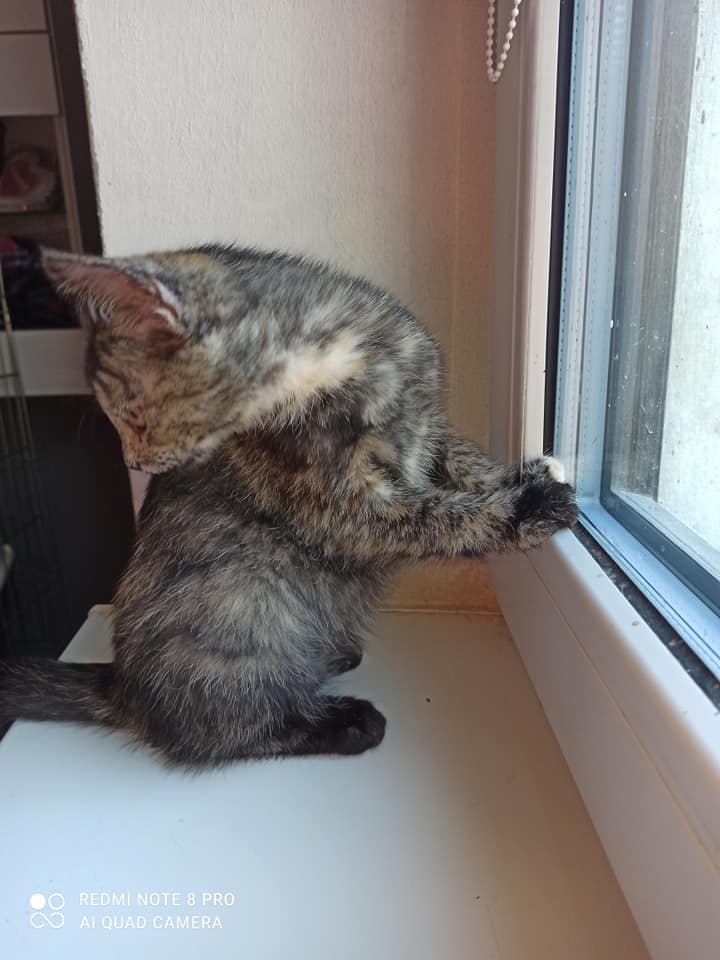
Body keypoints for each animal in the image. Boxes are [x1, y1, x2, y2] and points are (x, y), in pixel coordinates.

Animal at [0, 245, 577, 766]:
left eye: (131, 416)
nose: (134, 462)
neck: (354, 364)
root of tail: (122, 686)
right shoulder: (350, 513)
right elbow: (443, 518)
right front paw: (530, 509)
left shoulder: (429, 432)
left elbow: (462, 460)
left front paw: (532, 474)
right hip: (246, 607)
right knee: (226, 729)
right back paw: (346, 721)